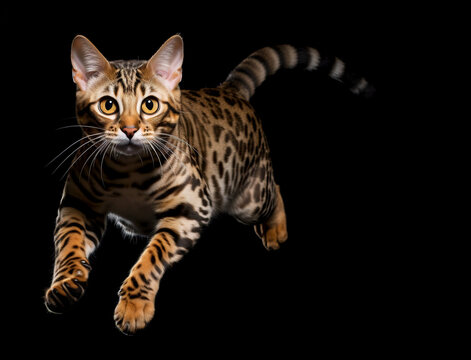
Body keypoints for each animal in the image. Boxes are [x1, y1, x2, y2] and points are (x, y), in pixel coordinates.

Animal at [45, 34, 376, 334]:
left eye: (150, 105)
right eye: (108, 105)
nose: (128, 130)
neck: (128, 171)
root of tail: (227, 88)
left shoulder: (192, 210)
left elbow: (152, 256)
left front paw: (134, 305)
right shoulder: (78, 205)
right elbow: (69, 243)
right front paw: (67, 281)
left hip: (249, 200)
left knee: (274, 188)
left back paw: (275, 228)